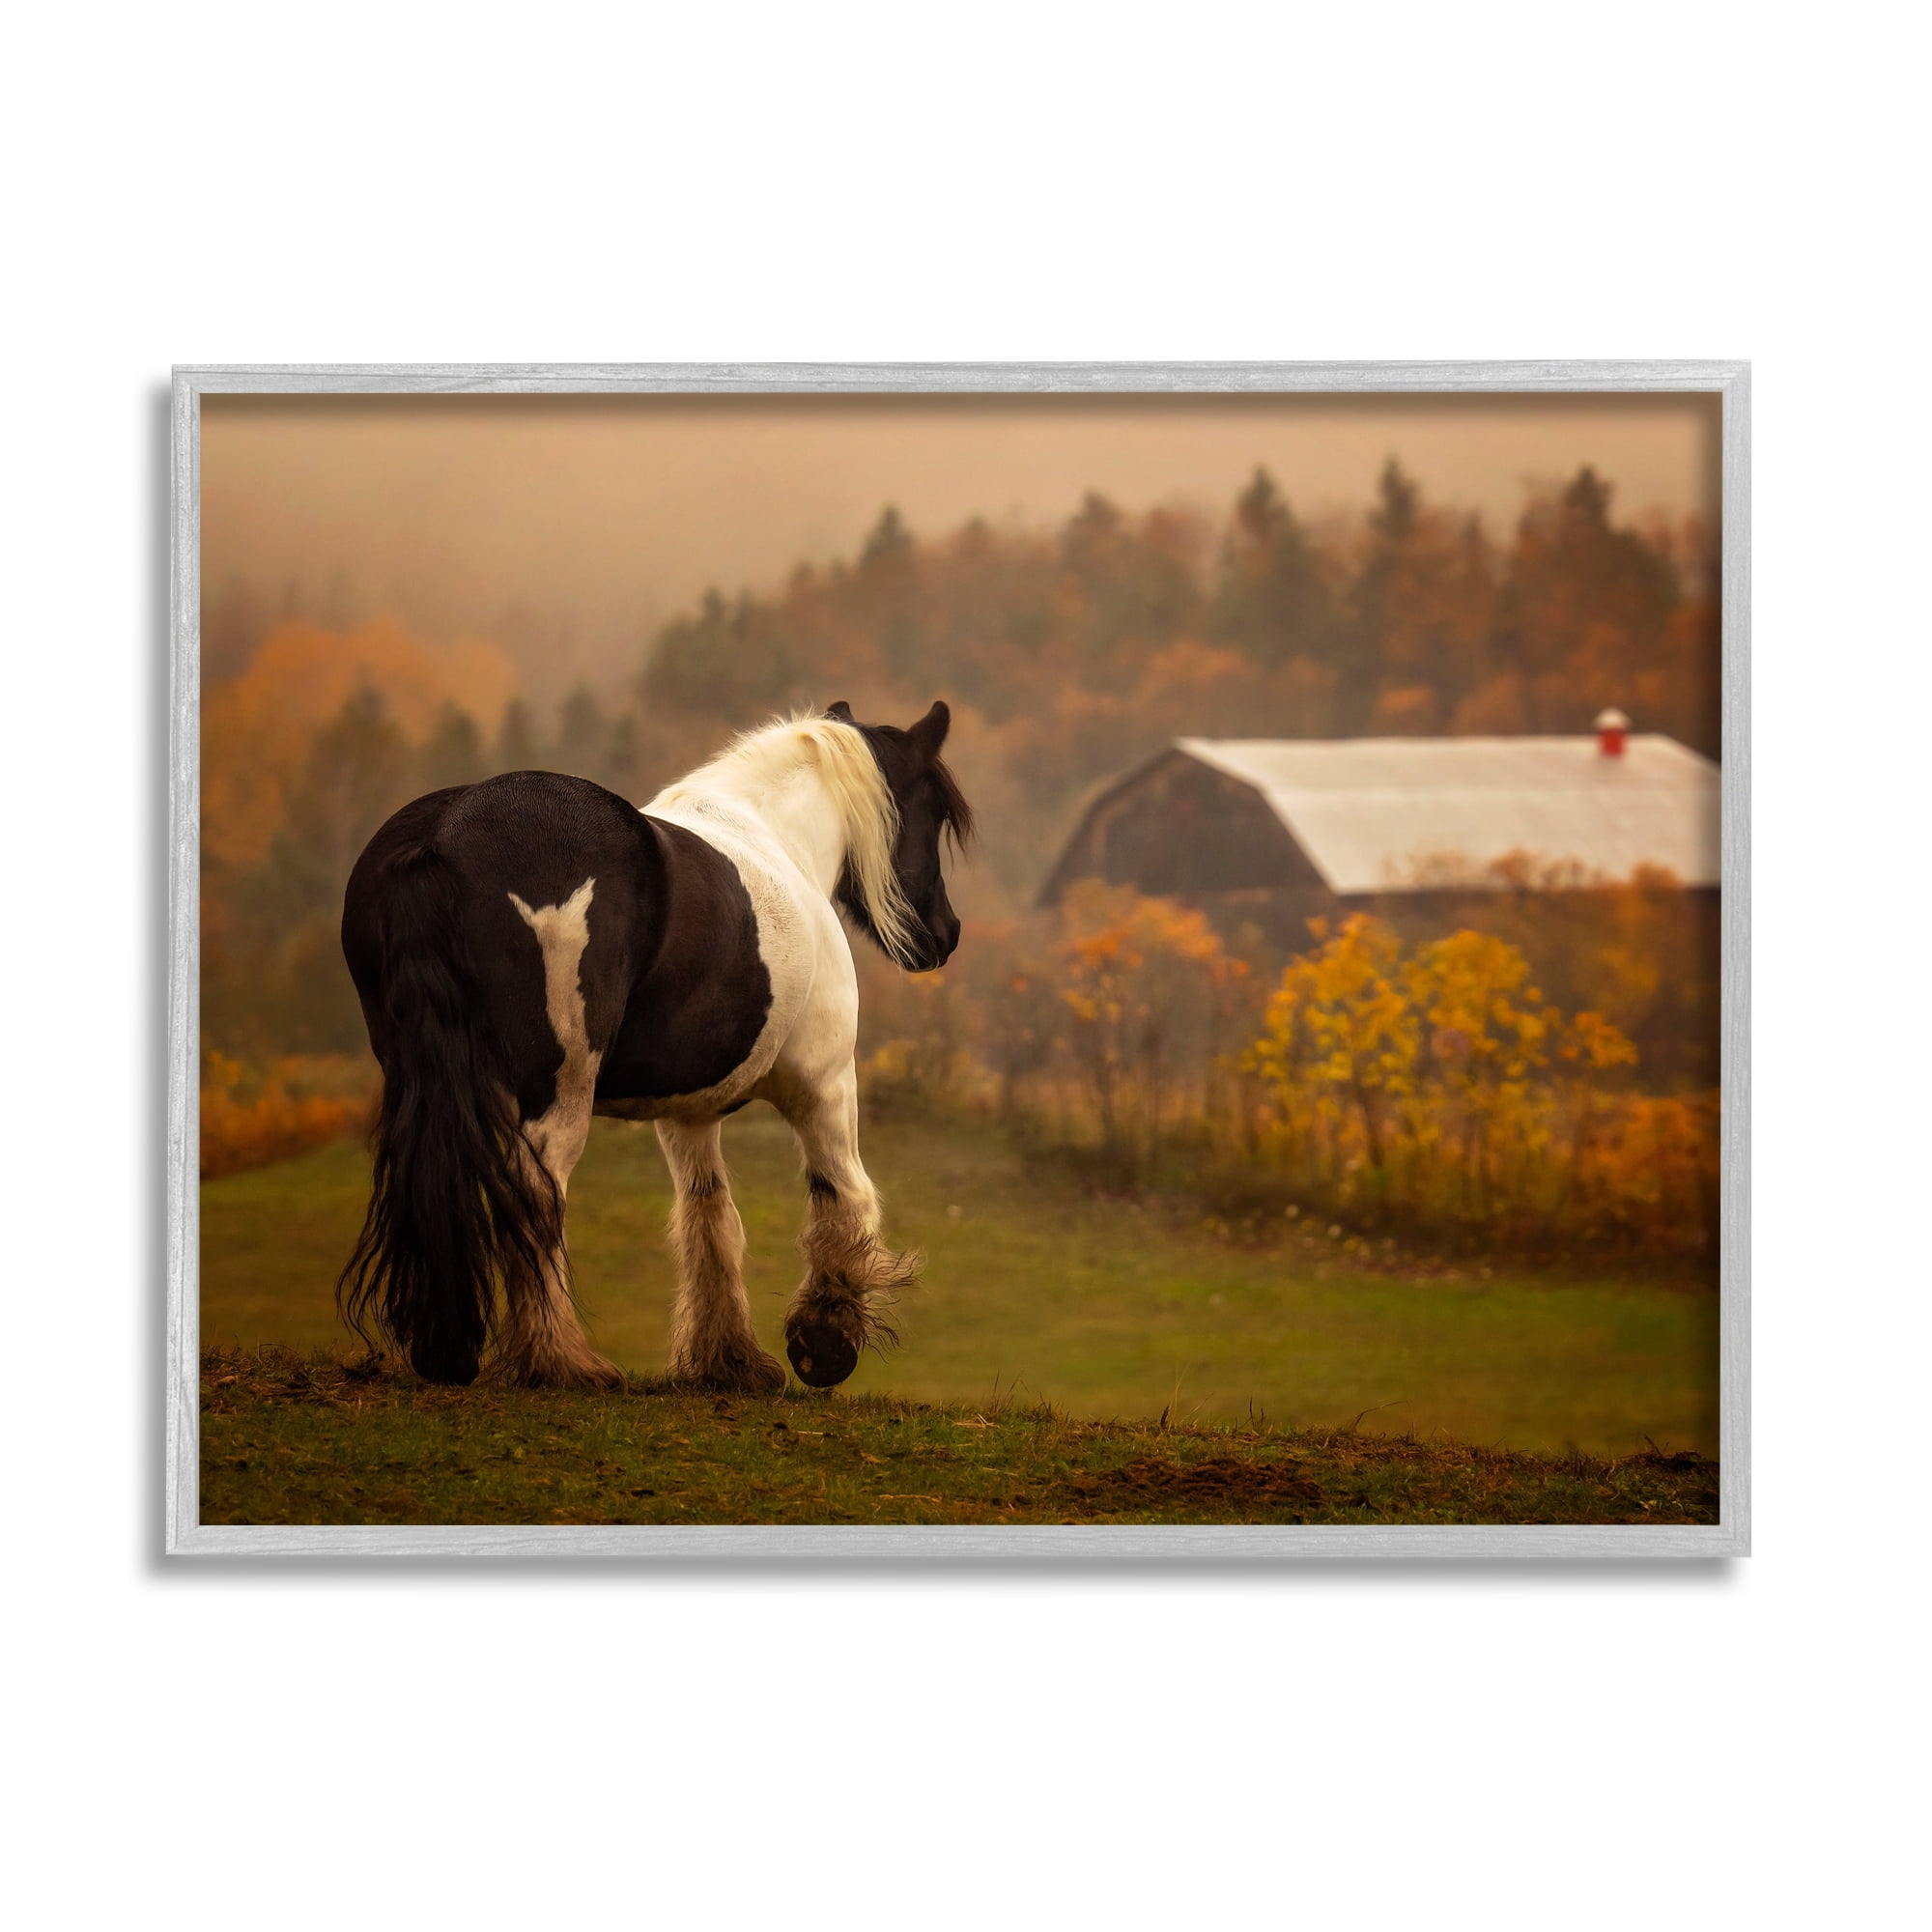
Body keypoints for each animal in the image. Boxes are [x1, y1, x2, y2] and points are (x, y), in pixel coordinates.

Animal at [336, 699, 971, 1393]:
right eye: (933, 811)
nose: (945, 934)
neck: (778, 840)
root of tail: (443, 834)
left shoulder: (688, 1114)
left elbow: (709, 1217)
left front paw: (729, 1360)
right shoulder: (823, 1084)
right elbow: (844, 1195)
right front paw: (825, 1341)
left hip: (421, 1077)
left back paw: (448, 1351)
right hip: (558, 1087)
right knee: (537, 1191)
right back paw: (559, 1360)